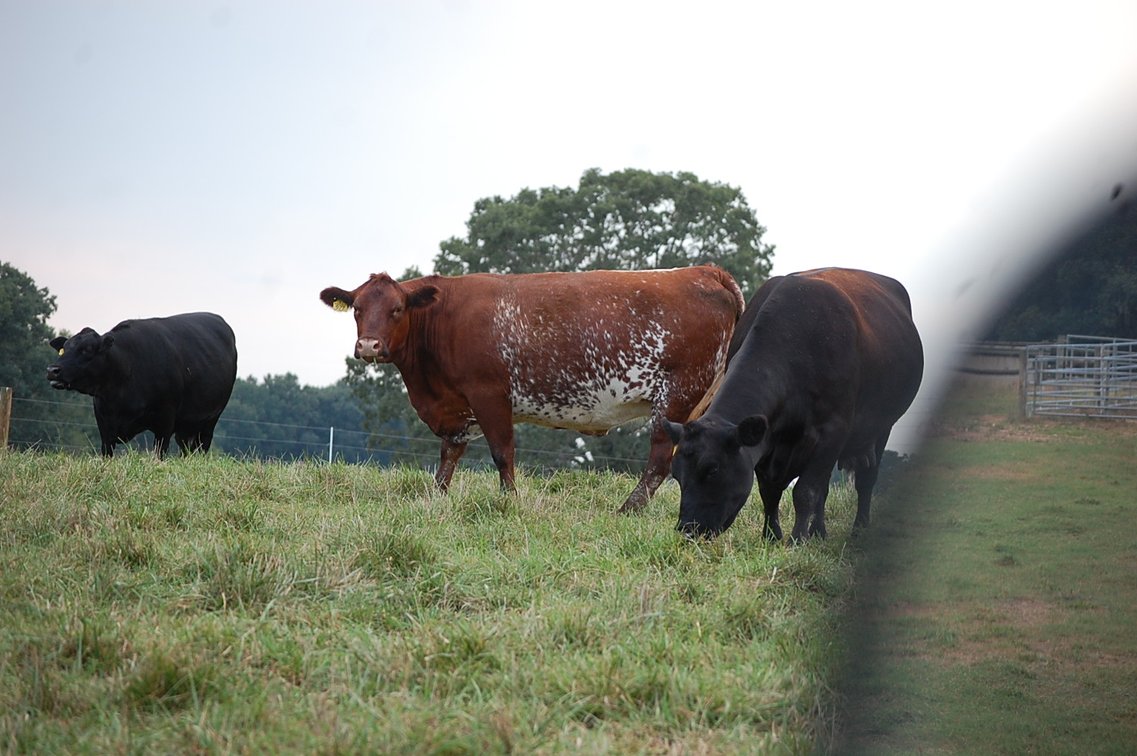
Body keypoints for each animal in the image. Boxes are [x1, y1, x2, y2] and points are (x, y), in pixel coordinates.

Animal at [47, 312, 238, 458]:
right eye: (63, 349)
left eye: (87, 349)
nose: (52, 369)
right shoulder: (103, 421)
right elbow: (107, 452)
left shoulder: (165, 419)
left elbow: (159, 453)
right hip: (187, 424)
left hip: (211, 418)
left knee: (202, 445)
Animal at [319, 266, 745, 512]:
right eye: (357, 309)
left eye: (397, 310)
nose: (369, 346)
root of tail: (704, 270)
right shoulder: (458, 408)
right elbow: (449, 455)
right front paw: (436, 498)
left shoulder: (489, 393)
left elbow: (502, 452)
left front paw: (510, 502)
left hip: (676, 393)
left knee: (659, 458)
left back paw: (629, 508)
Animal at [665, 268, 923, 541]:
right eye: (677, 475)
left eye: (712, 469)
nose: (688, 529)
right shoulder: (768, 440)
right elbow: (770, 492)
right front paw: (771, 535)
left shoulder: (833, 431)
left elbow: (805, 491)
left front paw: (797, 539)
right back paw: (819, 532)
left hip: (882, 427)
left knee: (866, 480)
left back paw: (858, 529)